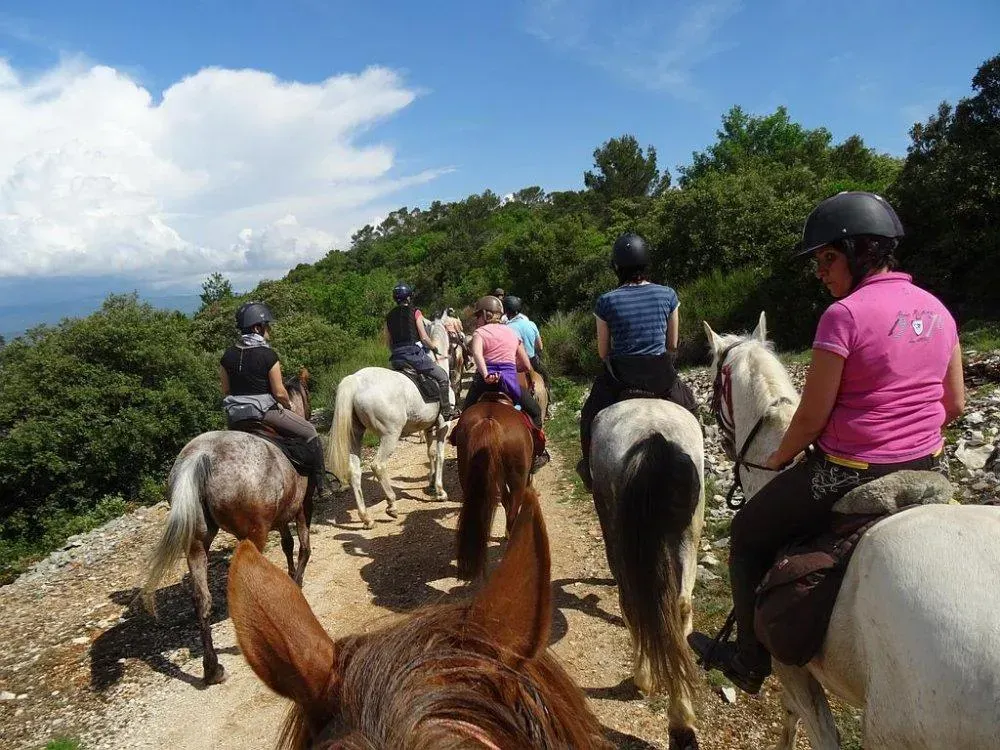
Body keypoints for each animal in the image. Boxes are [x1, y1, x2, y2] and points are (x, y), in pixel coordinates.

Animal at [142, 368, 316, 685]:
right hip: (253, 534)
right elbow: (303, 548)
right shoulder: (300, 508)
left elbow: (287, 545)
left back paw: (212, 668)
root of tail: (202, 456)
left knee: (201, 598)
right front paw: (295, 584)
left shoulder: (280, 517)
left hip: (197, 542)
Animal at [328, 319, 453, 529]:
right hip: (390, 435)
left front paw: (430, 485)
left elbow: (431, 454)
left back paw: (366, 518)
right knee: (378, 465)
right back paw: (391, 504)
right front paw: (440, 491)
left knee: (354, 472)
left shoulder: (428, 428)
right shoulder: (443, 427)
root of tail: (356, 381)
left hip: (356, 434)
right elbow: (441, 455)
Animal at [589, 397, 705, 750]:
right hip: (688, 533)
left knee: (632, 600)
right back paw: (682, 723)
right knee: (681, 605)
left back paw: (644, 678)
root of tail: (654, 437)